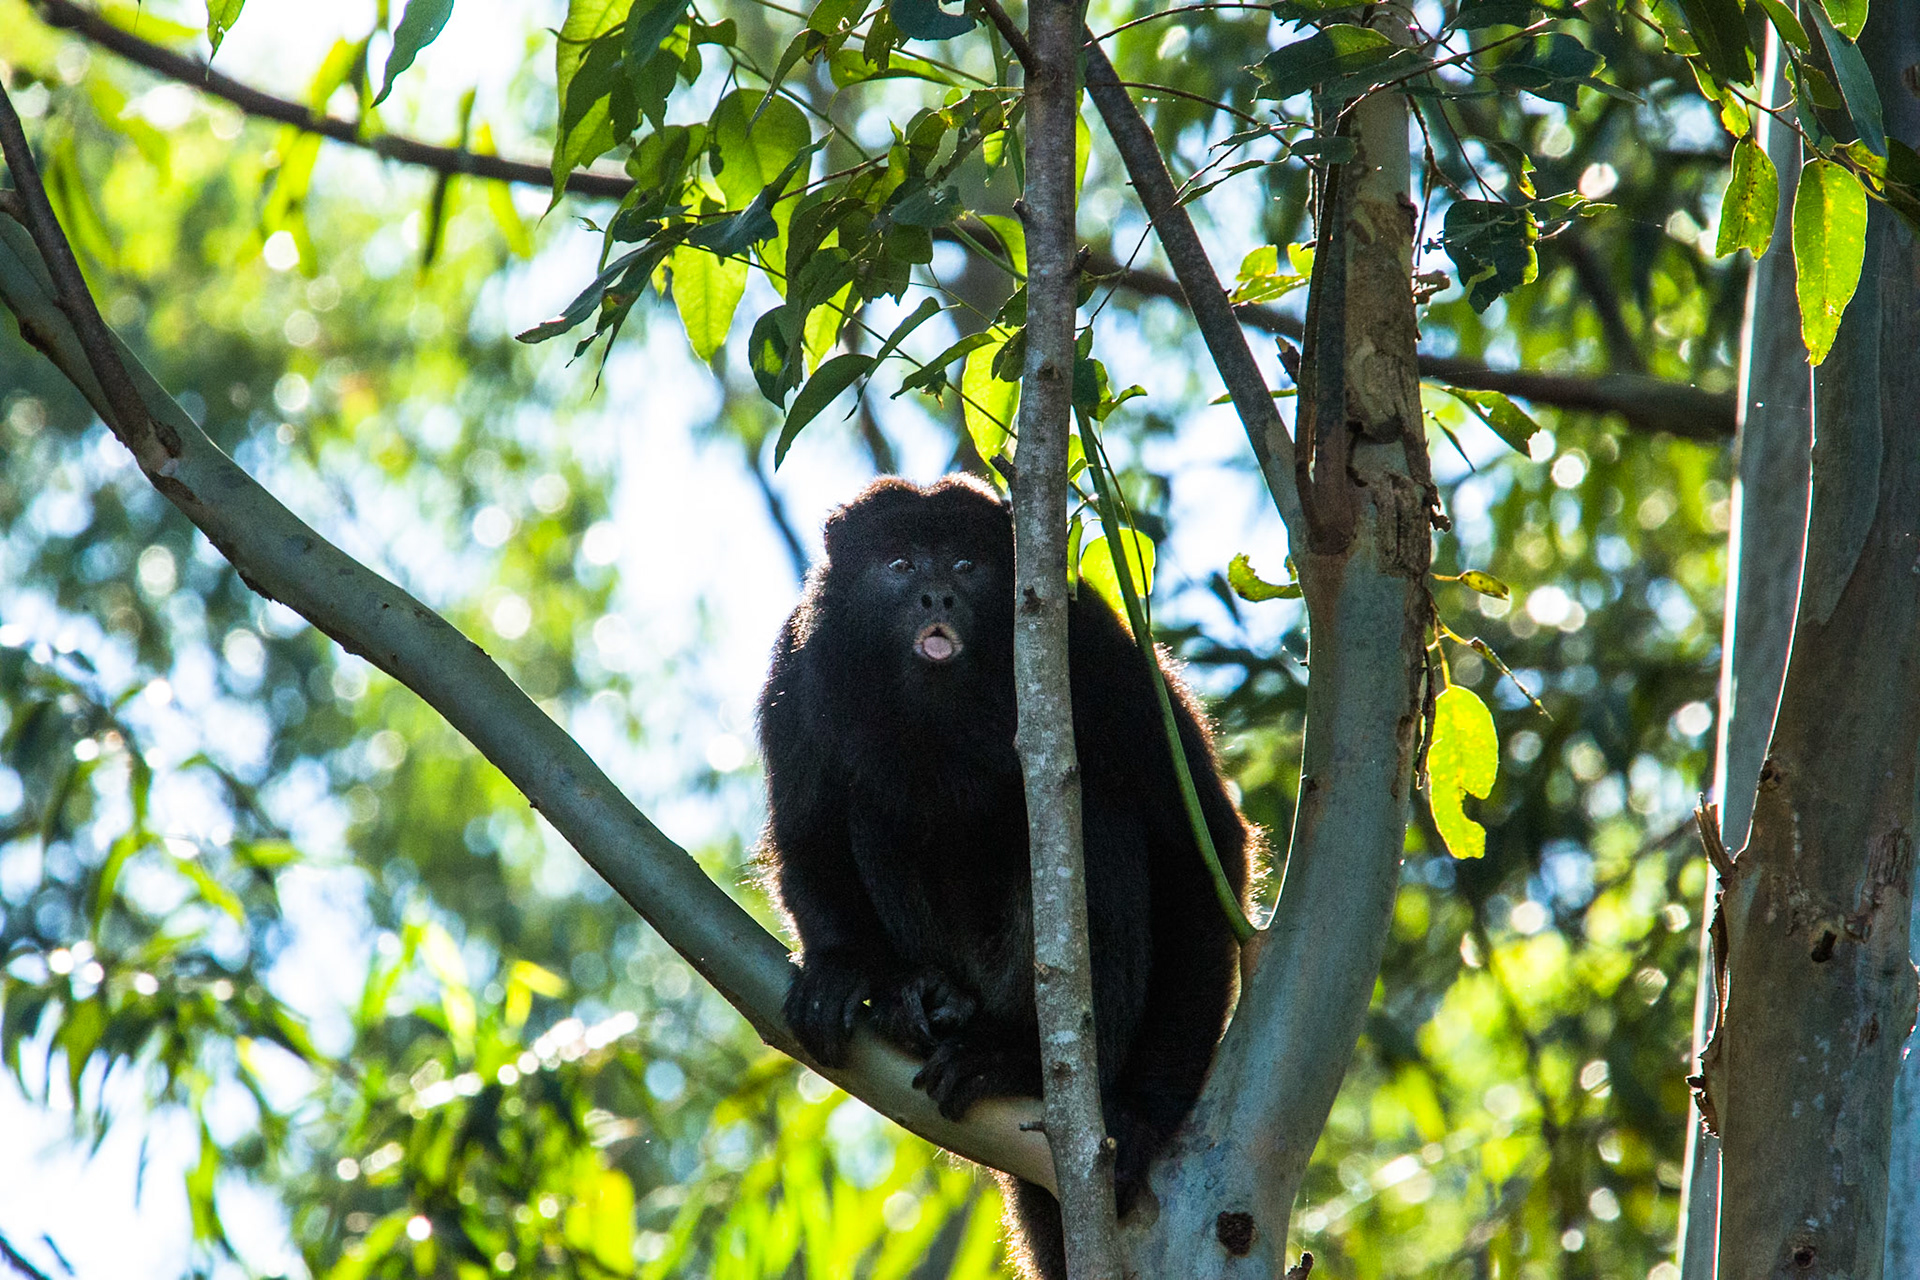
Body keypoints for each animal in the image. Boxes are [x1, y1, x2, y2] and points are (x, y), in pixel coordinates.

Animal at [756, 474, 1252, 1279]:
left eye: (966, 565)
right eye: (900, 564)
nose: (938, 596)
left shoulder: (1092, 646)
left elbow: (1195, 849)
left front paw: (1143, 1114)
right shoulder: (797, 663)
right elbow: (807, 833)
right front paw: (842, 968)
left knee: (1103, 807)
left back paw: (1016, 1058)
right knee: (869, 808)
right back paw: (922, 998)